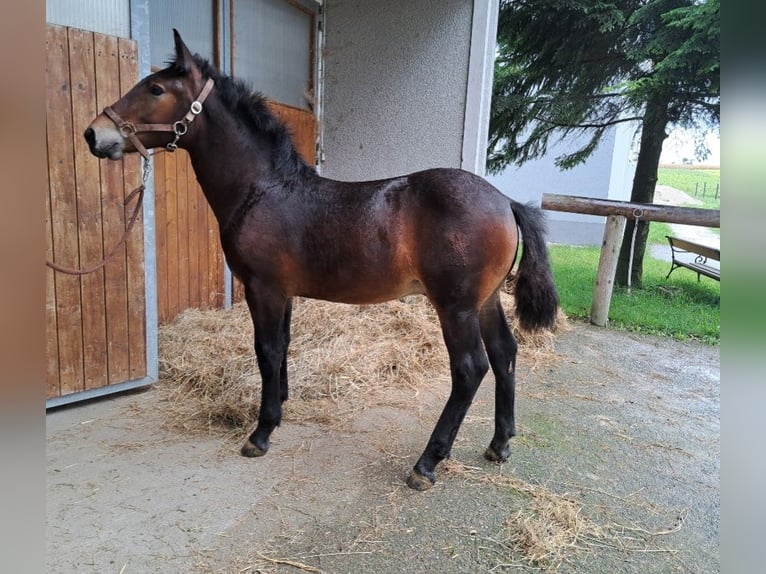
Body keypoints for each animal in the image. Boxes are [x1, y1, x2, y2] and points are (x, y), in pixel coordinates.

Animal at [85, 30, 560, 490]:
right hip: (485, 301)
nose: (94, 134)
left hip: (455, 306)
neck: (264, 190)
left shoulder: (262, 288)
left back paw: (427, 463)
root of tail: (505, 201)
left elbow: (266, 348)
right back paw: (499, 443)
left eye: (155, 88)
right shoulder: (284, 292)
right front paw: (280, 403)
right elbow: (281, 347)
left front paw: (262, 432)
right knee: (504, 352)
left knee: (470, 368)